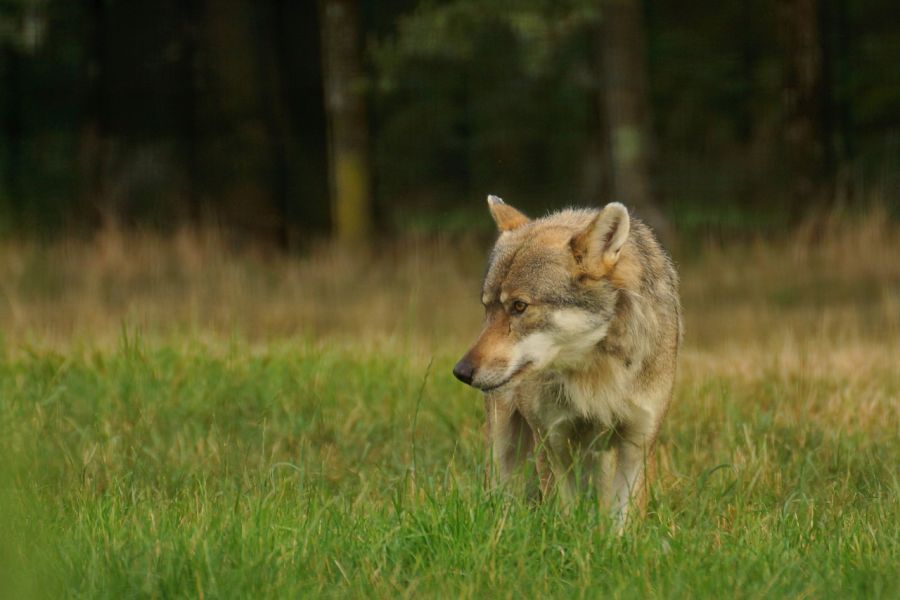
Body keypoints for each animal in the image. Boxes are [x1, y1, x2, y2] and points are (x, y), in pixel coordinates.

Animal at [454, 195, 680, 528]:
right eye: (488, 308)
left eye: (519, 306)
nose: (461, 372)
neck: (595, 370)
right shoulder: (554, 443)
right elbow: (566, 516)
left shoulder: (636, 446)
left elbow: (621, 525)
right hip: (504, 446)